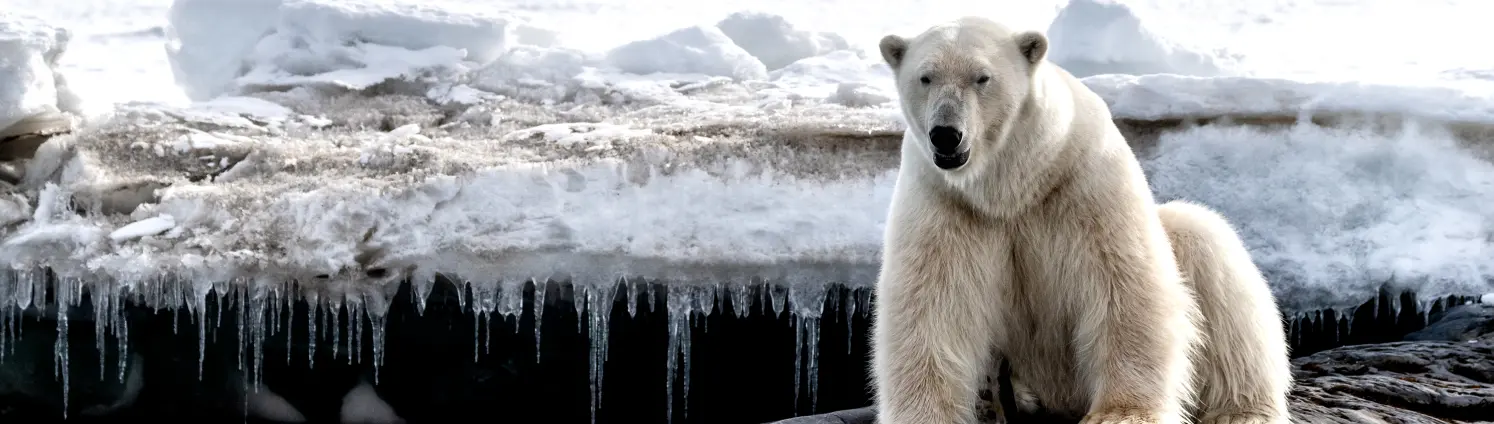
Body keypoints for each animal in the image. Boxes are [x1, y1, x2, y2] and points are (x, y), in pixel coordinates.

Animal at [872, 16, 1290, 424]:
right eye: (925, 77)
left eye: (982, 77)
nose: (946, 135)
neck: (1011, 186)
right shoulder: (947, 200)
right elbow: (932, 303)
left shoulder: (1082, 181)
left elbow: (1124, 284)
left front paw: (1122, 414)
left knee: (1209, 252)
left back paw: (1243, 411)